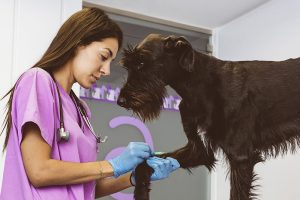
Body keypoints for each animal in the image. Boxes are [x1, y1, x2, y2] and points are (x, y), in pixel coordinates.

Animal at [116, 33, 300, 199]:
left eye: (141, 62)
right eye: (127, 65)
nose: (121, 101)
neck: (199, 85)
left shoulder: (240, 156)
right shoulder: (197, 149)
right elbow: (144, 164)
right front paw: (141, 190)